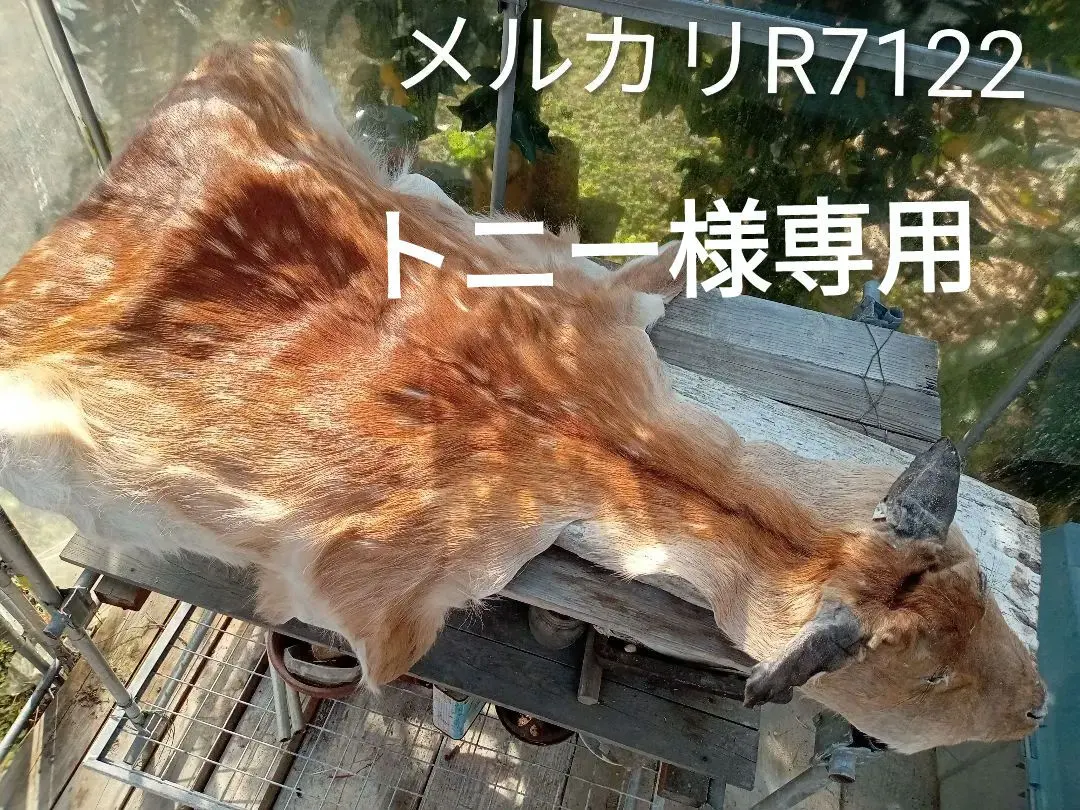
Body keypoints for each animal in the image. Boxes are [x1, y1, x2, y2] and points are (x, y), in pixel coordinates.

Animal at [0, 42, 1045, 754]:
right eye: (928, 677)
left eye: (984, 589)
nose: (1038, 703)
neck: (582, 432)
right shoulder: (373, 595)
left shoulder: (577, 283)